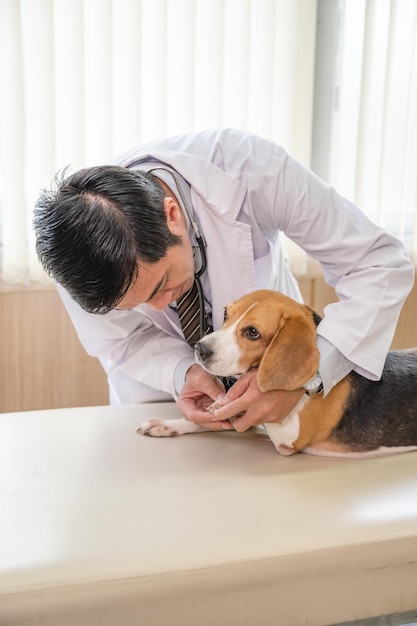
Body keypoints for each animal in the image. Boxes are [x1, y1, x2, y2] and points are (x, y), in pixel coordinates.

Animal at [138, 290, 416, 456]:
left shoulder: (289, 438)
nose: (200, 349)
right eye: (226, 314)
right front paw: (167, 425)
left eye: (253, 332)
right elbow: (202, 420)